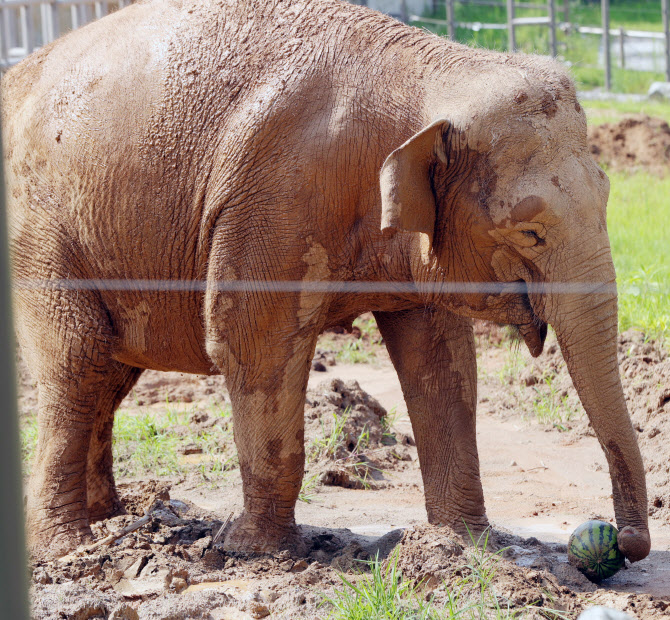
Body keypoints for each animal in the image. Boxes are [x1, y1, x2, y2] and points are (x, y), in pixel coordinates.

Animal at [0, 0, 652, 560]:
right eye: (531, 233)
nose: (625, 545)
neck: (433, 70)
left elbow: (440, 359)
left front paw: (465, 544)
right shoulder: (275, 196)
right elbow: (253, 345)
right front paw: (255, 551)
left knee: (109, 372)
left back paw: (110, 517)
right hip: (39, 231)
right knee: (78, 358)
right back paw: (69, 546)